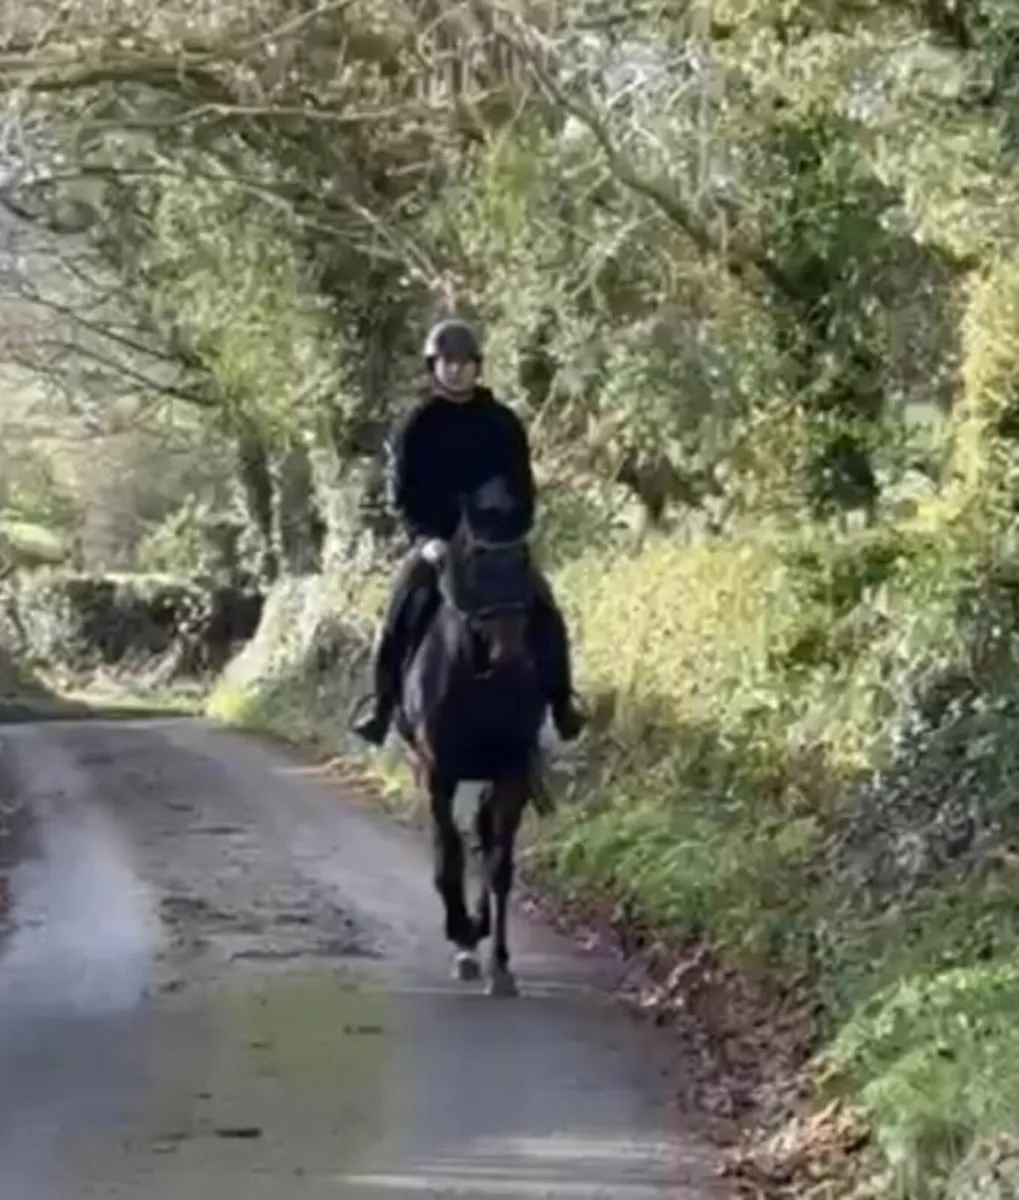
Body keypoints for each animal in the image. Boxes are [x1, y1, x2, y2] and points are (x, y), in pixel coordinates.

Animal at [395, 516, 547, 997]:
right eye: (475, 562)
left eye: (524, 561)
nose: (512, 656)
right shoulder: (436, 773)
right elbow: (449, 857)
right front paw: (461, 936)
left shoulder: (512, 773)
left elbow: (499, 865)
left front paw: (500, 965)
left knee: (483, 835)